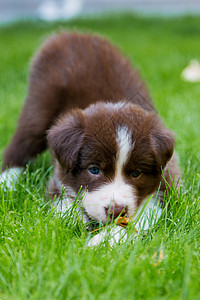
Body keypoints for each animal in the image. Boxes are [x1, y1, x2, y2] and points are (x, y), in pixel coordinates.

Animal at [0, 31, 180, 245]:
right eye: (94, 170)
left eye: (136, 173)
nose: (116, 210)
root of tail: (69, 34)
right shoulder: (59, 178)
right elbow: (64, 206)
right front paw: (77, 224)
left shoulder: (165, 185)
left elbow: (139, 218)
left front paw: (102, 242)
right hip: (38, 109)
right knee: (20, 146)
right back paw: (6, 182)